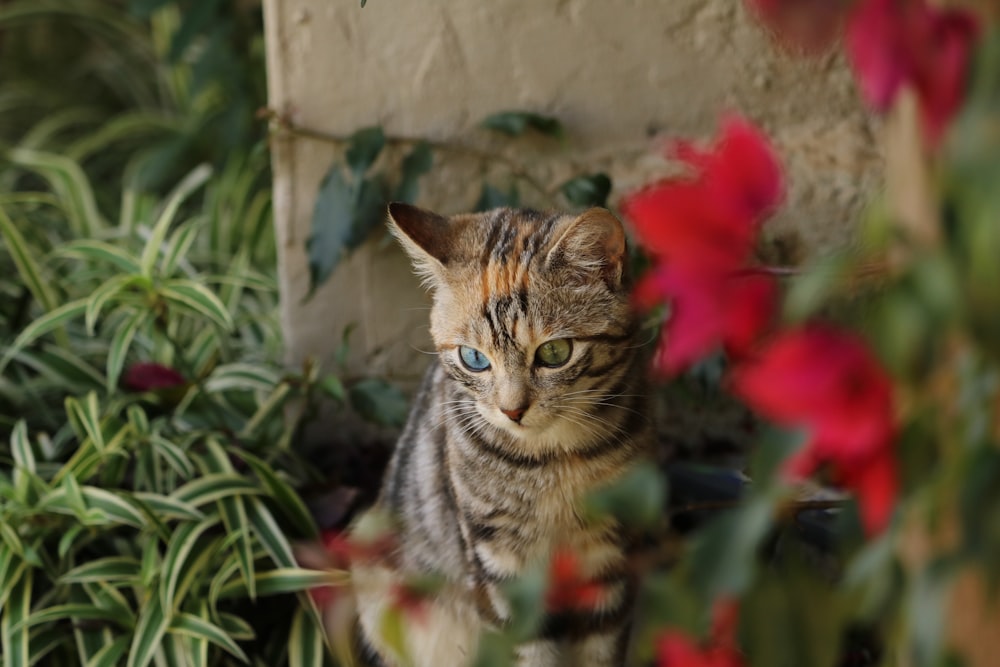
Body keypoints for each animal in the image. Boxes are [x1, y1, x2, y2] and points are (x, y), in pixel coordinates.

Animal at [348, 204, 652, 667]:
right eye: (474, 359)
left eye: (554, 353)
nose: (513, 410)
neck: (553, 460)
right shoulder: (497, 561)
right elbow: (528, 651)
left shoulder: (610, 556)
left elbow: (601, 649)